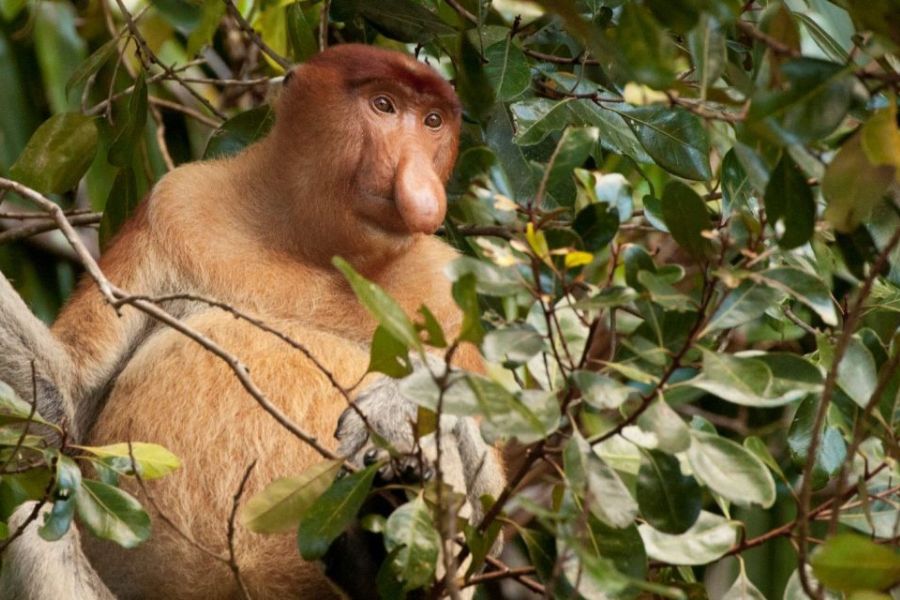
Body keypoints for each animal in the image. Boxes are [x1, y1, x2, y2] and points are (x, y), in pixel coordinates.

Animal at [0, 44, 506, 596]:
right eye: (384, 105)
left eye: (433, 121)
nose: (420, 183)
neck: (310, 248)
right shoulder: (177, 204)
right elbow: (61, 410)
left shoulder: (445, 287)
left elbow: (494, 506)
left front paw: (394, 411)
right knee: (32, 524)